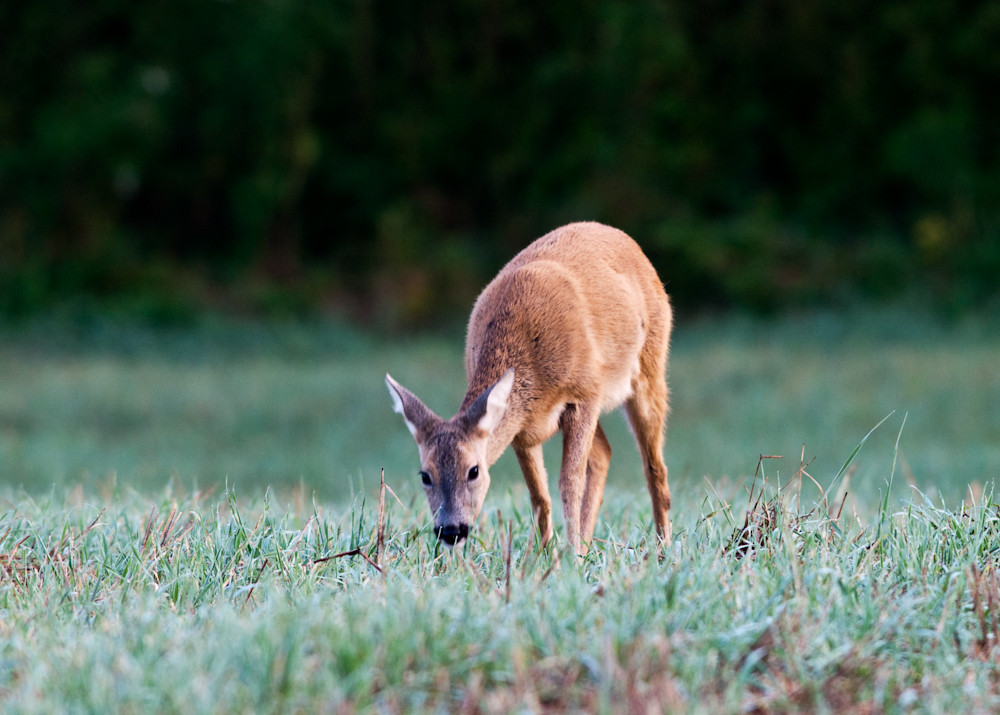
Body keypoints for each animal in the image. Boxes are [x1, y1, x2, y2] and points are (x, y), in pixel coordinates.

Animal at [382, 221, 672, 556]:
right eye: (426, 475)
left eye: (474, 470)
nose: (452, 530)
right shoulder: (522, 427)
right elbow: (538, 495)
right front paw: (545, 555)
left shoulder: (584, 392)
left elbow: (569, 480)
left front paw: (570, 557)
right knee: (603, 453)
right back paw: (589, 544)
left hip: (649, 368)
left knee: (653, 465)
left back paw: (662, 546)